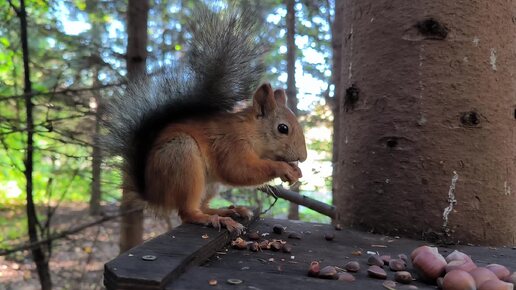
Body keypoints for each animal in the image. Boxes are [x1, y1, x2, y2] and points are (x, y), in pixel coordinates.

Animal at [104, 6, 306, 233]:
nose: (303, 157)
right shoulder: (230, 144)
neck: (250, 132)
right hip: (183, 160)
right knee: (188, 212)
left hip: (209, 184)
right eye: (283, 128)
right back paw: (214, 219)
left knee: (203, 205)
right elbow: (238, 170)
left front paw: (296, 171)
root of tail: (154, 195)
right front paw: (283, 168)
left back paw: (227, 211)